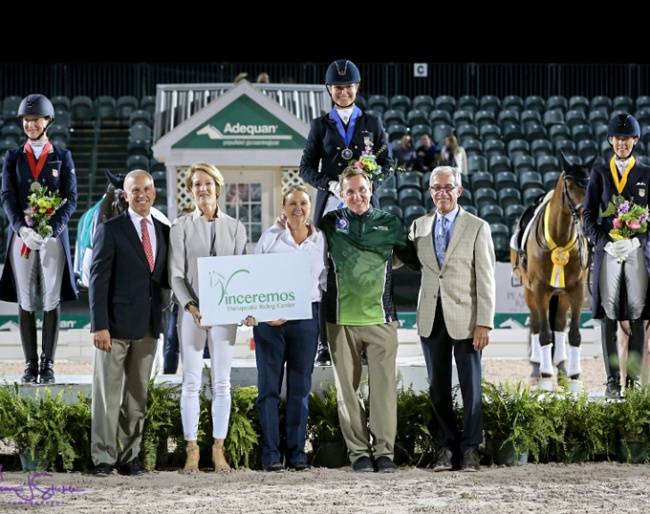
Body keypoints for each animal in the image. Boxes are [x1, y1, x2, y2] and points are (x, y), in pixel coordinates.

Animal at [508, 152, 596, 388]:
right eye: (570, 186)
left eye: (590, 185)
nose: (585, 217)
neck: (559, 237)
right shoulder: (540, 289)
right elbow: (544, 335)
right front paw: (546, 378)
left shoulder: (576, 289)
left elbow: (573, 335)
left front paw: (574, 377)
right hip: (529, 291)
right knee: (537, 325)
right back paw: (537, 369)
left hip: (561, 294)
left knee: (557, 325)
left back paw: (562, 368)